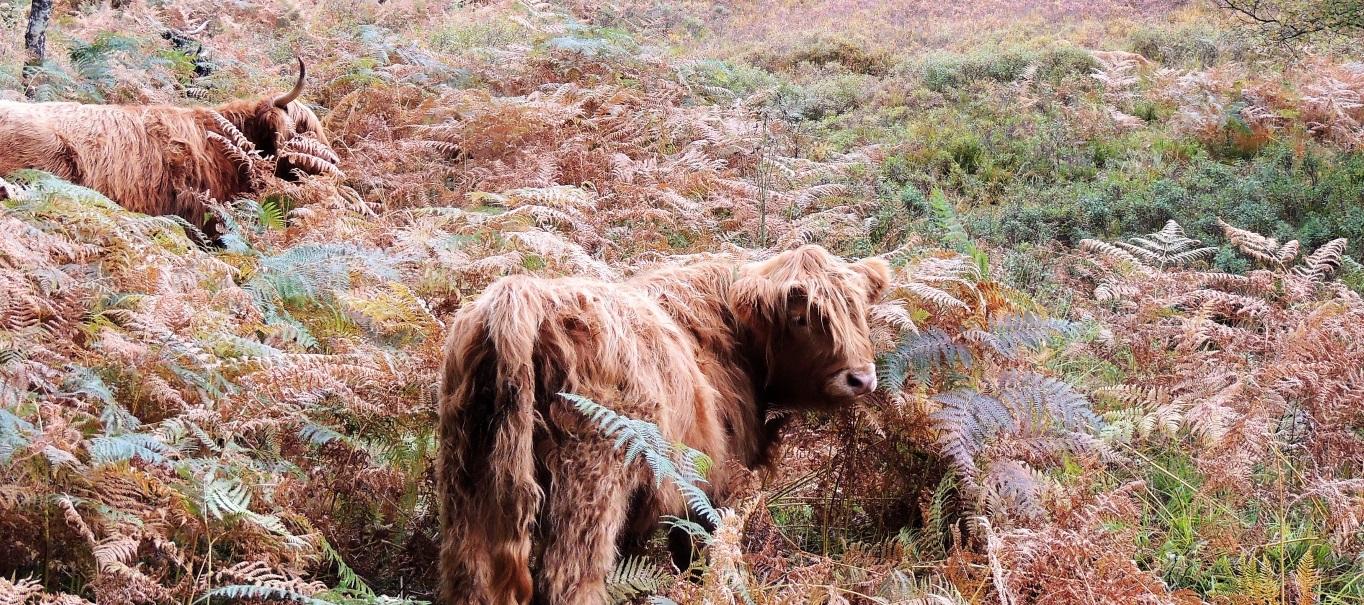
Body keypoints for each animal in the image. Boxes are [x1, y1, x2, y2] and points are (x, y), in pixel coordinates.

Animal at [433, 245, 883, 605]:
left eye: (857, 311)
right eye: (801, 317)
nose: (861, 378)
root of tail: (525, 295)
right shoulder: (713, 486)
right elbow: (702, 557)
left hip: (467, 478)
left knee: (469, 574)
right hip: (590, 485)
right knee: (570, 580)